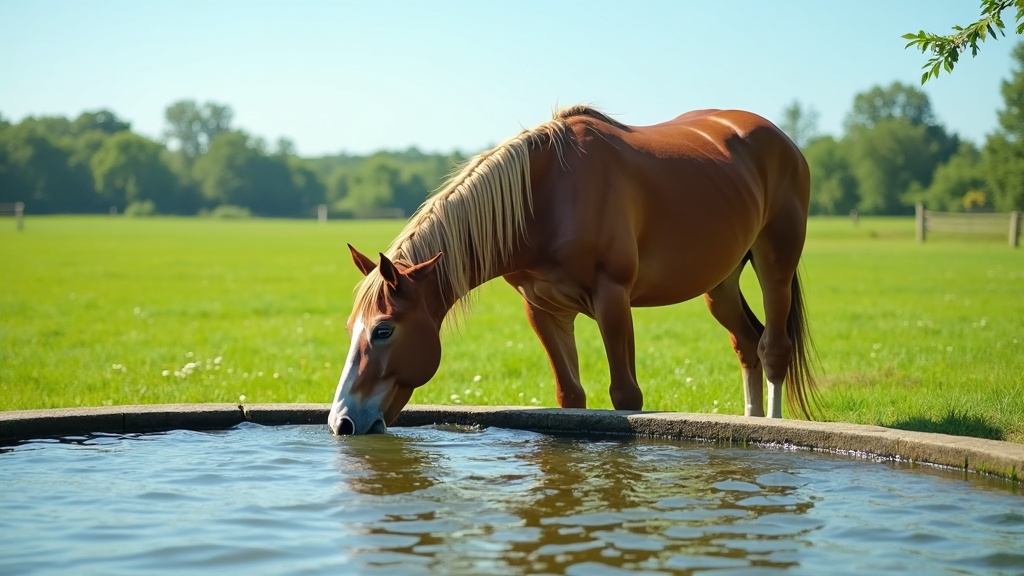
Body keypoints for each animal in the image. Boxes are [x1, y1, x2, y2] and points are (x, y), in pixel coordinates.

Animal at [328, 105, 816, 435]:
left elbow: (626, 397)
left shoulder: (612, 300)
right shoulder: (544, 309)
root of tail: (781, 139)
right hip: (721, 282)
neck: (548, 196)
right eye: (350, 327)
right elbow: (570, 398)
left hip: (775, 262)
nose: (342, 421)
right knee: (747, 344)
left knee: (773, 348)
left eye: (384, 329)